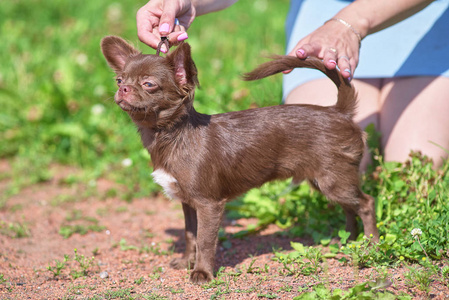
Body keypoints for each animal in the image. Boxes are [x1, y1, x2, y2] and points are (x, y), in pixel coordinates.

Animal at [101, 35, 378, 284]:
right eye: (119, 79)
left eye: (148, 84)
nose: (122, 89)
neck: (172, 136)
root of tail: (338, 111)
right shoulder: (188, 203)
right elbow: (191, 236)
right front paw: (187, 261)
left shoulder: (208, 204)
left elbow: (205, 240)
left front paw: (202, 273)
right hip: (327, 182)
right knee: (349, 207)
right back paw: (349, 239)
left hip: (334, 180)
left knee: (366, 203)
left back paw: (370, 244)